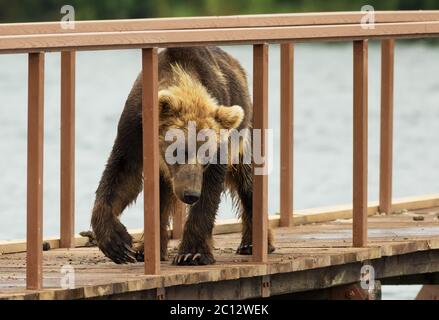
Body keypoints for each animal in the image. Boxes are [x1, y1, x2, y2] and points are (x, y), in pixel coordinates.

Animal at [90, 47, 276, 264]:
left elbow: (210, 191)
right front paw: (118, 243)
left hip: (243, 137)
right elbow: (122, 175)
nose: (190, 194)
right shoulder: (134, 128)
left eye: (206, 157)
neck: (183, 76)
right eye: (179, 150)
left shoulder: (219, 144)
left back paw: (253, 244)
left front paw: (192, 253)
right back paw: (147, 250)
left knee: (248, 182)